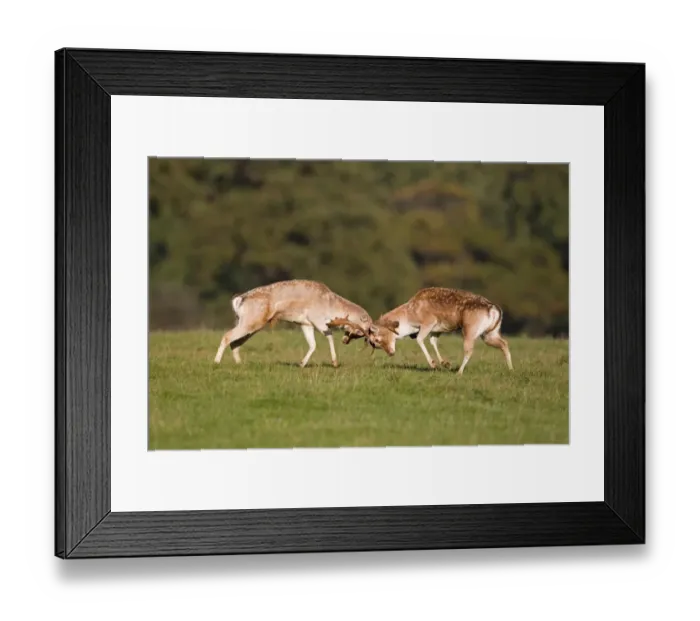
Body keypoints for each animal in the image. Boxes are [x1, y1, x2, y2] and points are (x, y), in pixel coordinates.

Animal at [213, 279, 377, 368]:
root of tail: (238, 299)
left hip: (250, 324)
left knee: (235, 342)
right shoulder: (317, 319)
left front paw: (301, 364)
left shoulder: (305, 324)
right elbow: (329, 336)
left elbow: (312, 344)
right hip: (251, 322)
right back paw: (216, 362)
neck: (330, 306)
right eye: (366, 327)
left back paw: (240, 364)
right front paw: (335, 363)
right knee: (227, 336)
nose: (345, 341)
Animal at [336, 287, 514, 375]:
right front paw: (444, 363)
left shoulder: (429, 322)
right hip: (489, 334)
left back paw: (459, 372)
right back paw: (511, 369)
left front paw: (434, 364)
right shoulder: (436, 330)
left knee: (469, 350)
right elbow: (433, 341)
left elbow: (421, 339)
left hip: (470, 330)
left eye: (377, 339)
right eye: (376, 344)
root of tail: (495, 309)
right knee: (504, 343)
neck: (410, 316)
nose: (391, 353)